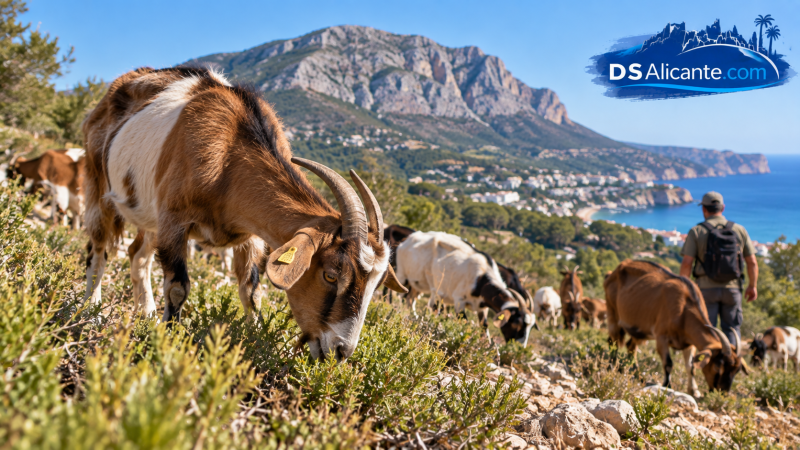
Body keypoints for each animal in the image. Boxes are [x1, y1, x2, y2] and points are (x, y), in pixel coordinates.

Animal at [81, 66, 406, 361]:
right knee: (98, 250)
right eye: (330, 275)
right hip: (98, 185)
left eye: (376, 286)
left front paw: (255, 340)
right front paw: (169, 341)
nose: (341, 351)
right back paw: (91, 311)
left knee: (138, 255)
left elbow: (251, 292)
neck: (228, 155)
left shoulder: (250, 236)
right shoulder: (174, 220)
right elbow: (177, 288)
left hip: (150, 217)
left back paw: (146, 312)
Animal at [395, 231, 535, 345]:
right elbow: (464, 323)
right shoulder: (459, 300)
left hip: (418, 284)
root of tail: (407, 240)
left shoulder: (482, 307)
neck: (481, 279)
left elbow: (484, 326)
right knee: (400, 296)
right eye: (516, 323)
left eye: (530, 327)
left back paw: (414, 316)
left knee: (411, 299)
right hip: (402, 276)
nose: (519, 346)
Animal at [605, 259, 749, 397]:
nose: (723, 393)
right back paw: (611, 367)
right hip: (613, 314)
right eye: (717, 367)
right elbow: (668, 363)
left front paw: (694, 390)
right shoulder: (661, 337)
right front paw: (667, 386)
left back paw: (638, 375)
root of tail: (612, 273)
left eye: (737, 370)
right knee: (614, 343)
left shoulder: (689, 343)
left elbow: (691, 366)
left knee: (631, 347)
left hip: (639, 330)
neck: (683, 308)